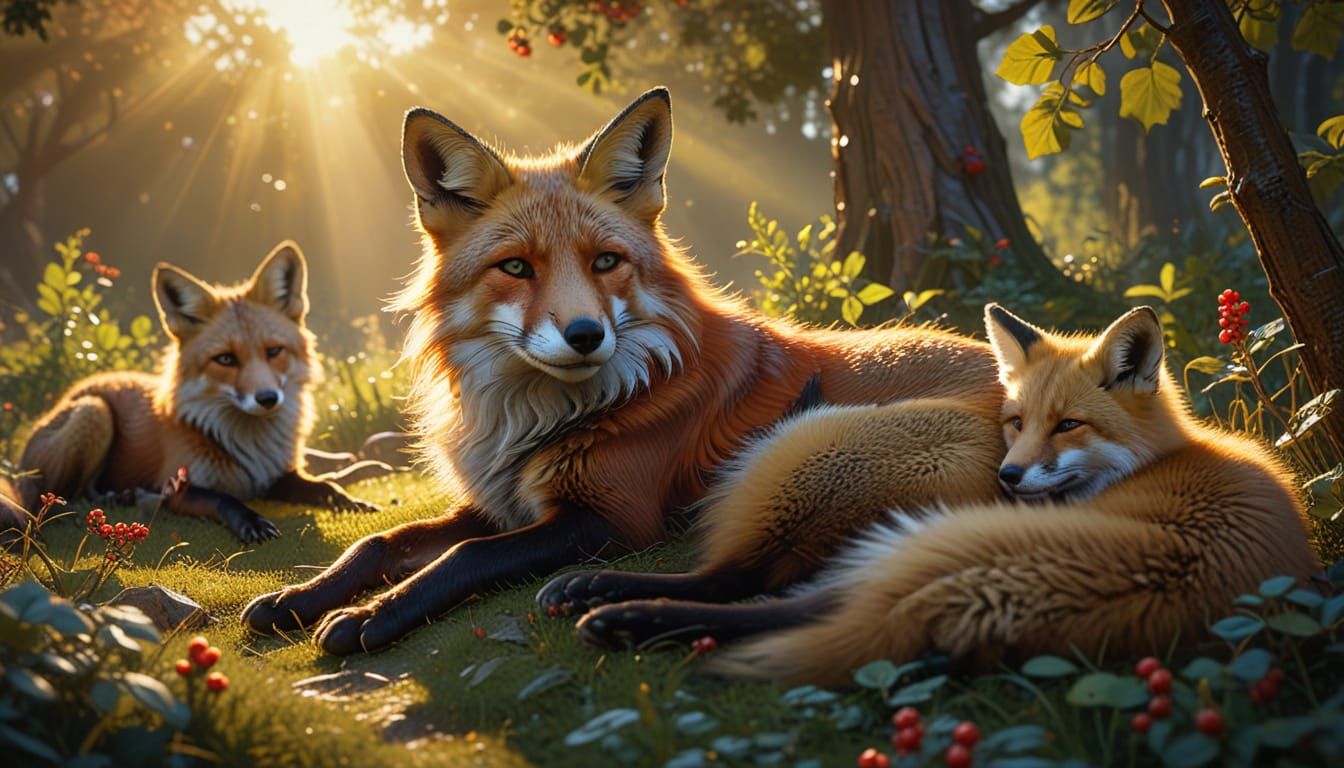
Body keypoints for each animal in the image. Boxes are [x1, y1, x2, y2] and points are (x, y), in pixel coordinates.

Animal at [4, 242, 374, 544]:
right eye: (225, 359)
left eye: (274, 351)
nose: (267, 398)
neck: (250, 445)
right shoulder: (178, 487)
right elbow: (224, 498)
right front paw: (251, 521)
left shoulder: (277, 476)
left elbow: (324, 487)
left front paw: (350, 500)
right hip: (93, 412)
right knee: (57, 499)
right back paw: (119, 497)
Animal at [240, 87, 1007, 655]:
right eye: (515, 267)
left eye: (606, 261)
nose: (585, 335)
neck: (538, 417)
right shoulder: (499, 503)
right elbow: (379, 542)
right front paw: (299, 598)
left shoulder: (610, 513)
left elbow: (462, 560)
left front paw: (373, 617)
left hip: (805, 456)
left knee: (750, 578)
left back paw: (609, 604)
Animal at [567, 304, 1321, 687]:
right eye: (1016, 421)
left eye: (1068, 425)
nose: (1007, 478)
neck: (1165, 455)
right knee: (754, 592)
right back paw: (606, 602)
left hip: (882, 530)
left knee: (740, 587)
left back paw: (619, 613)